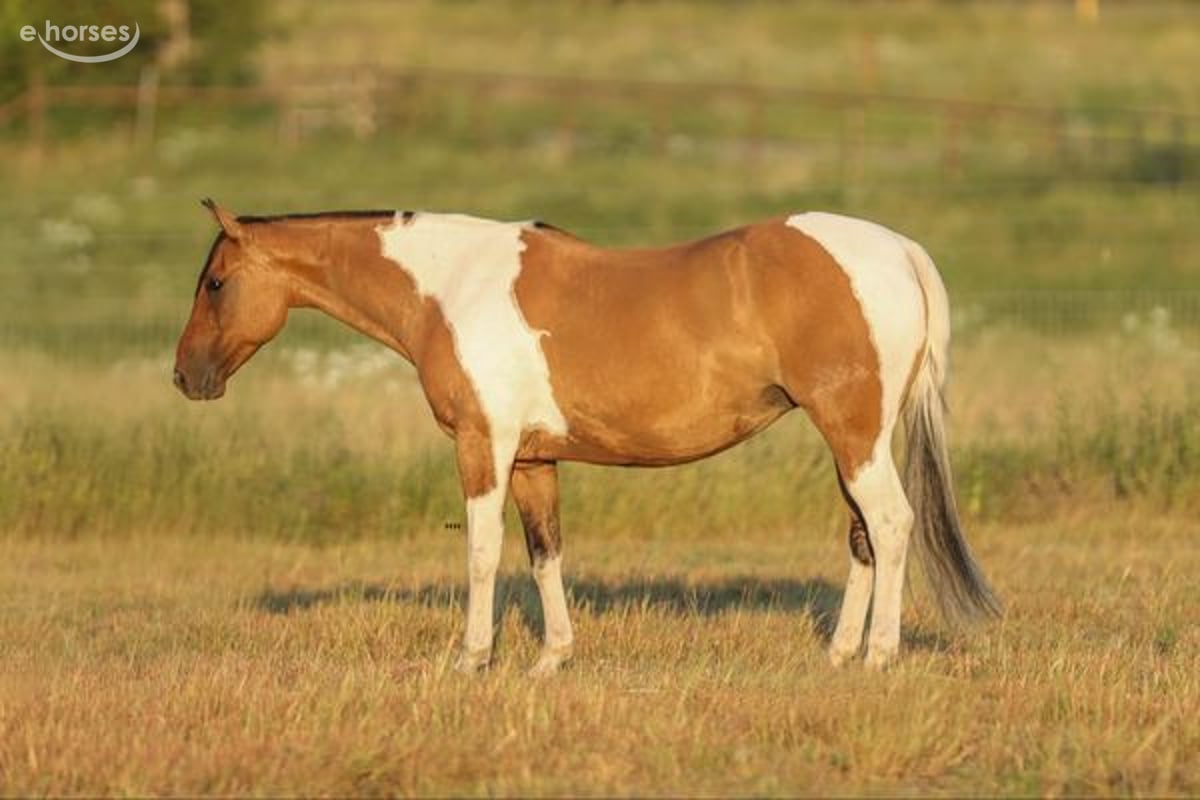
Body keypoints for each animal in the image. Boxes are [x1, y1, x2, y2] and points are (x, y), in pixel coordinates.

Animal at [173, 200, 1000, 675]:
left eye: (215, 283)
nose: (186, 377)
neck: (452, 287)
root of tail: (896, 250)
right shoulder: (535, 459)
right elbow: (545, 554)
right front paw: (551, 659)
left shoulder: (483, 447)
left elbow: (482, 554)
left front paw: (471, 659)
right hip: (854, 440)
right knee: (863, 536)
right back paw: (838, 654)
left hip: (854, 434)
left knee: (889, 526)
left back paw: (879, 657)